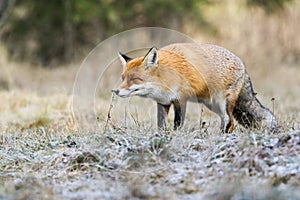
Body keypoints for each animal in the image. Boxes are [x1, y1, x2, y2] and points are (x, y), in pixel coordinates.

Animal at [112, 42, 276, 133]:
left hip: (223, 103)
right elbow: (161, 124)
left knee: (230, 122)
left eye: (134, 79)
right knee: (227, 120)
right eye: (123, 78)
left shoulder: (181, 99)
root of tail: (243, 65)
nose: (116, 91)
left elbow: (178, 123)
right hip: (212, 104)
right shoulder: (163, 102)